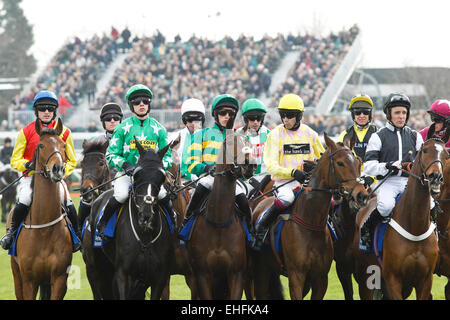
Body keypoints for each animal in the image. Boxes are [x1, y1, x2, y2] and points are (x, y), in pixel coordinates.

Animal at [89, 140, 174, 300]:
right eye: (137, 174)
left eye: (161, 177)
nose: (146, 214)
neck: (145, 235)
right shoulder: (123, 274)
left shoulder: (158, 278)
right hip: (95, 268)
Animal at [186, 131, 256, 300]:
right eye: (230, 143)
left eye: (248, 143)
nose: (250, 164)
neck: (219, 222)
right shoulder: (203, 274)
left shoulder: (236, 273)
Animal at [251, 133, 370, 300]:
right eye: (340, 163)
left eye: (359, 162)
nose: (361, 195)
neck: (311, 221)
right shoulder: (296, 276)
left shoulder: (320, 278)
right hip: (261, 271)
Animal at [354, 134, 448, 300]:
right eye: (425, 150)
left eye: (446, 155)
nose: (435, 177)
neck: (415, 227)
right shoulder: (393, 278)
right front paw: (394, 164)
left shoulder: (425, 279)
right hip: (366, 277)